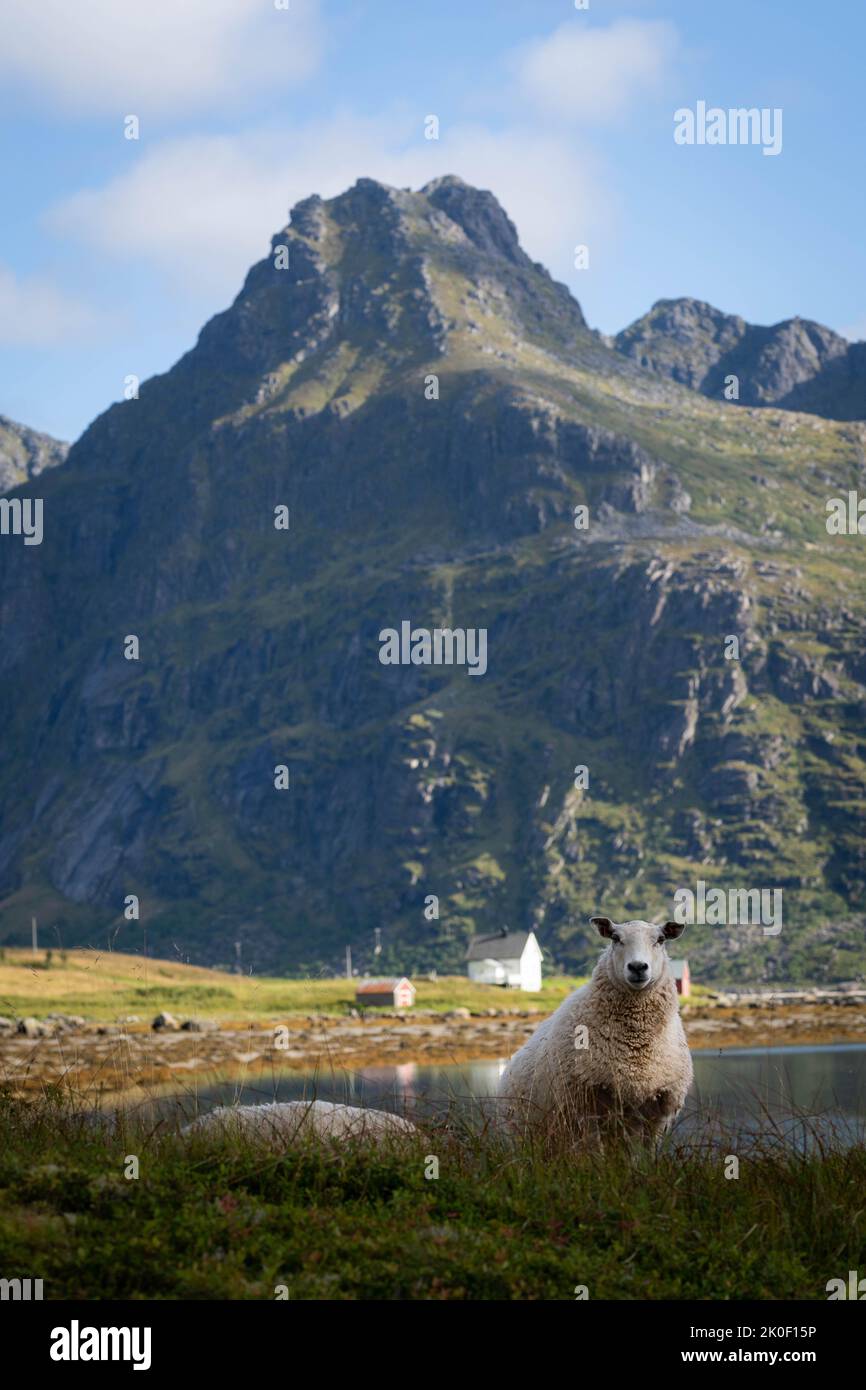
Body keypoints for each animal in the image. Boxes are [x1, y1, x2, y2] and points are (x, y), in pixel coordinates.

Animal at [498, 917, 693, 1144]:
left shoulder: (660, 1111)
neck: (636, 1048)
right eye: (615, 938)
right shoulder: (584, 1105)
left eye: (660, 939)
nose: (637, 967)